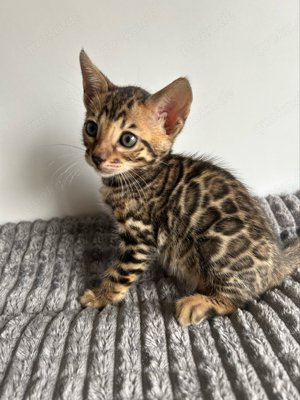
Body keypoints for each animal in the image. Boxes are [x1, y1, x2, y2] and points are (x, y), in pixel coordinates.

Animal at [78, 50, 300, 324]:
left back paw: (198, 302)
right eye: (91, 128)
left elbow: (120, 272)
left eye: (128, 139)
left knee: (239, 300)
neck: (136, 176)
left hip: (215, 242)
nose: (97, 157)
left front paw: (101, 296)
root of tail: (279, 263)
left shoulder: (141, 236)